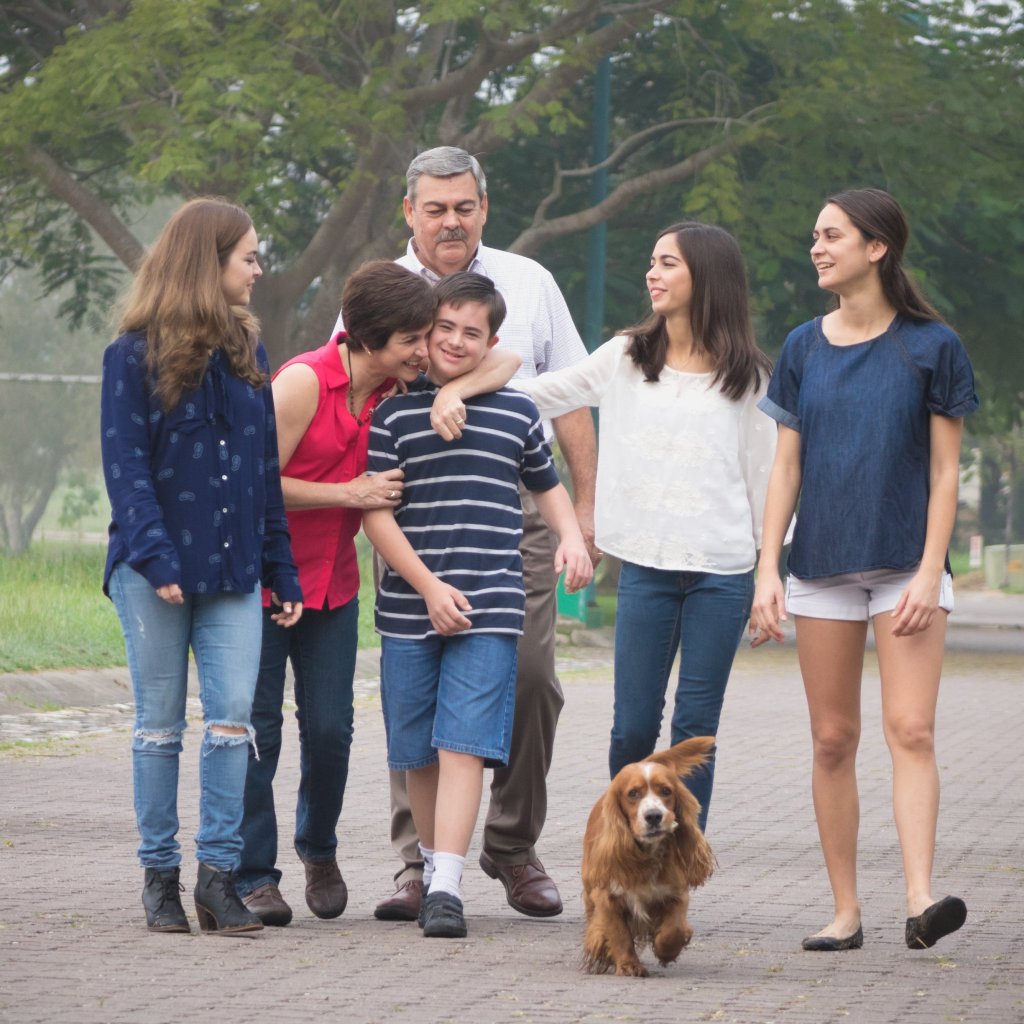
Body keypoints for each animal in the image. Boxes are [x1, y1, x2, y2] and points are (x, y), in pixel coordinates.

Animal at [581, 737, 716, 974]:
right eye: (633, 794)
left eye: (666, 791)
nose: (654, 816)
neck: (647, 854)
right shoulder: (606, 897)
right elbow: (618, 933)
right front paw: (628, 964)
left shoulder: (676, 893)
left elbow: (674, 928)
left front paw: (666, 950)